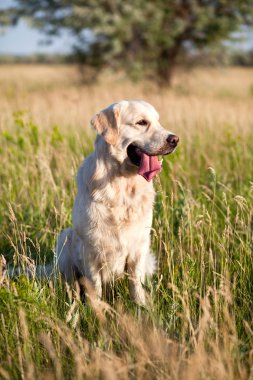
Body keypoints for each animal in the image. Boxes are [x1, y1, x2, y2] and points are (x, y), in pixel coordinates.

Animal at [56, 99, 179, 304]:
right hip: (65, 238)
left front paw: (141, 306)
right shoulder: (91, 249)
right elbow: (95, 286)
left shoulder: (139, 245)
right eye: (141, 122)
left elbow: (135, 284)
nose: (175, 140)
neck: (122, 185)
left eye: (158, 121)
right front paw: (94, 308)